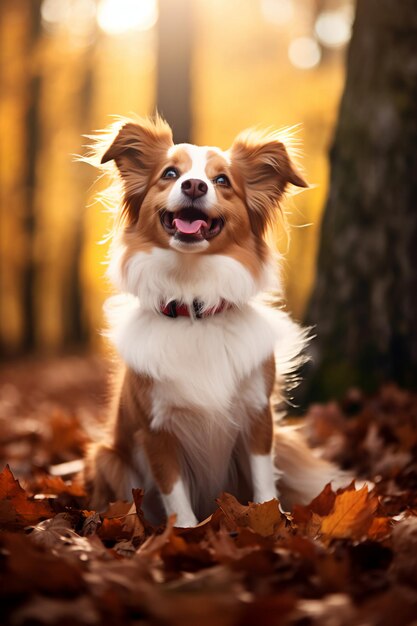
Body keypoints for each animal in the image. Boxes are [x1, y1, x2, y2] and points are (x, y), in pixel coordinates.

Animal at [84, 114, 342, 524]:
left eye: (222, 181)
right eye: (170, 174)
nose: (194, 185)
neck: (194, 307)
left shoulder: (257, 416)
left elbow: (264, 482)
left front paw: (273, 519)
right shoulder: (156, 431)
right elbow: (176, 496)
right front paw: (185, 532)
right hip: (108, 458)